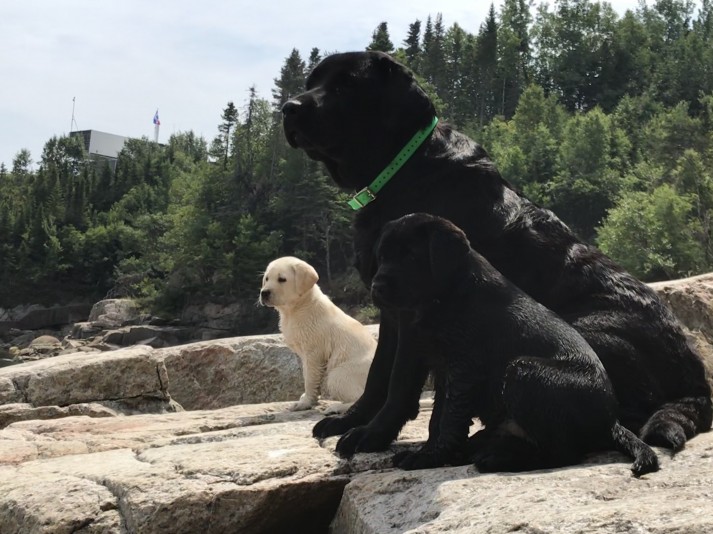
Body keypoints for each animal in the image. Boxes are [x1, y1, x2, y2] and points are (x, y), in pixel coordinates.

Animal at [258, 258, 376, 416]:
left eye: (282, 279)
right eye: (266, 278)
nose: (264, 293)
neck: (297, 308)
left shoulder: (314, 352)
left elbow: (310, 378)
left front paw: (304, 403)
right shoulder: (306, 354)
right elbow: (308, 375)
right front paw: (308, 399)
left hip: (339, 374)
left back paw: (335, 407)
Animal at [376, 214, 660, 478]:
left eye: (410, 256)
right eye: (382, 256)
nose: (376, 286)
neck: (450, 291)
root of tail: (610, 422)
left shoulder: (463, 367)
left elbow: (449, 418)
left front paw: (428, 457)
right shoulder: (444, 369)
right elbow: (437, 417)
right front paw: (431, 451)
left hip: (524, 370)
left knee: (563, 452)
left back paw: (497, 459)